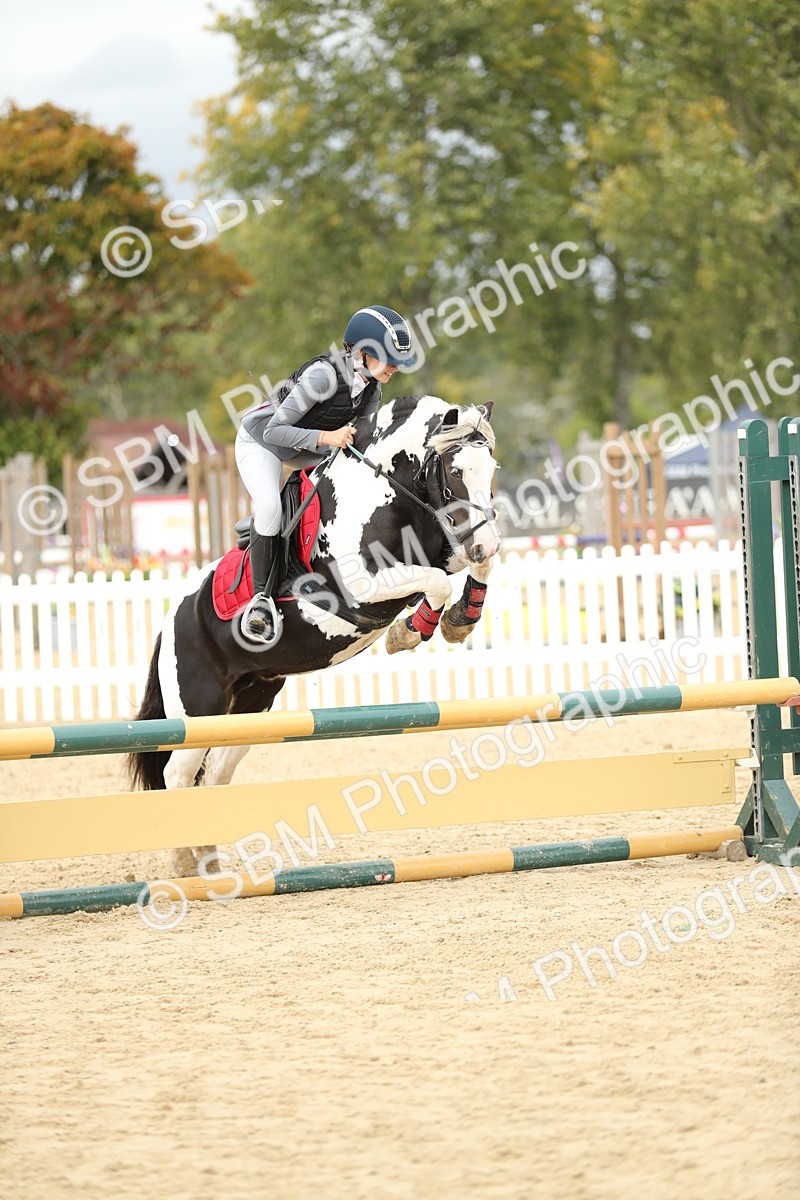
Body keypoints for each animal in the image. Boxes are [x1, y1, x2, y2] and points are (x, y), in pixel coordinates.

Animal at [127, 395, 501, 875]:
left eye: (491, 468)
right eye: (455, 472)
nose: (486, 542)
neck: (385, 493)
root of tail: (171, 619)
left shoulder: (446, 549)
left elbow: (464, 571)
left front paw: (459, 620)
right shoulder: (361, 586)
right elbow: (435, 582)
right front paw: (408, 632)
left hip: (250, 704)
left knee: (214, 773)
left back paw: (209, 862)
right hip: (199, 709)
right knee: (178, 773)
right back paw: (185, 865)